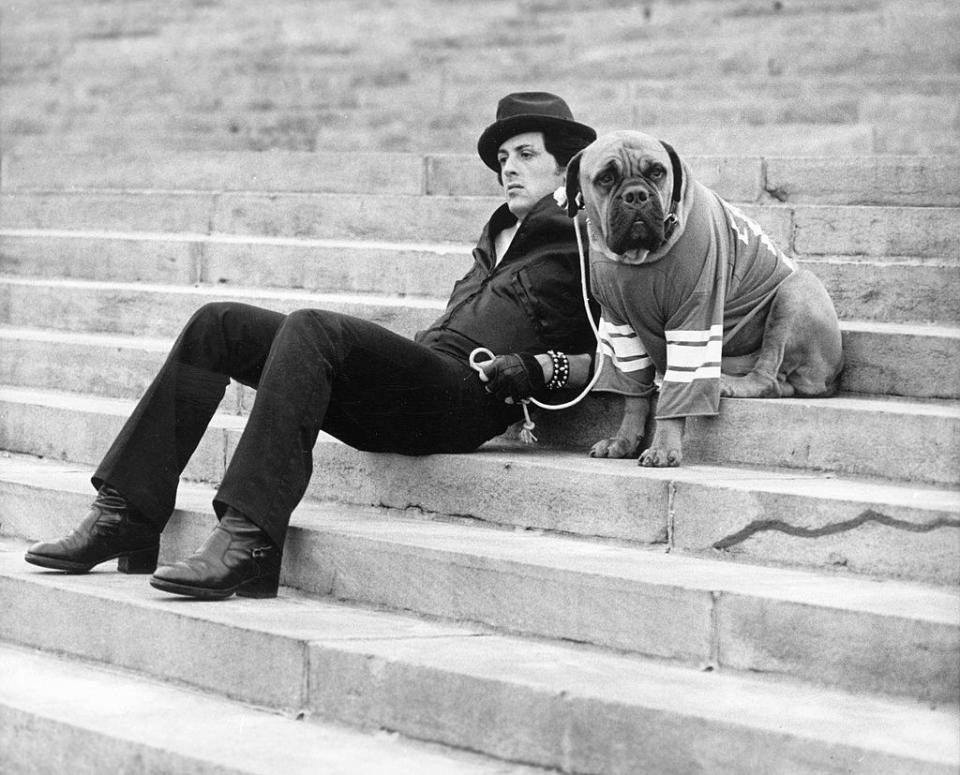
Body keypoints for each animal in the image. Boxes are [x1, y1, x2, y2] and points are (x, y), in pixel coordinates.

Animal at [564, 131, 840, 466]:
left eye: (657, 172)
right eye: (605, 178)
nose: (636, 195)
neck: (638, 260)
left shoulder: (694, 318)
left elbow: (678, 393)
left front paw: (663, 448)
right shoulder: (620, 325)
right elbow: (633, 393)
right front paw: (624, 440)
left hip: (796, 290)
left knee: (768, 377)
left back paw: (727, 384)